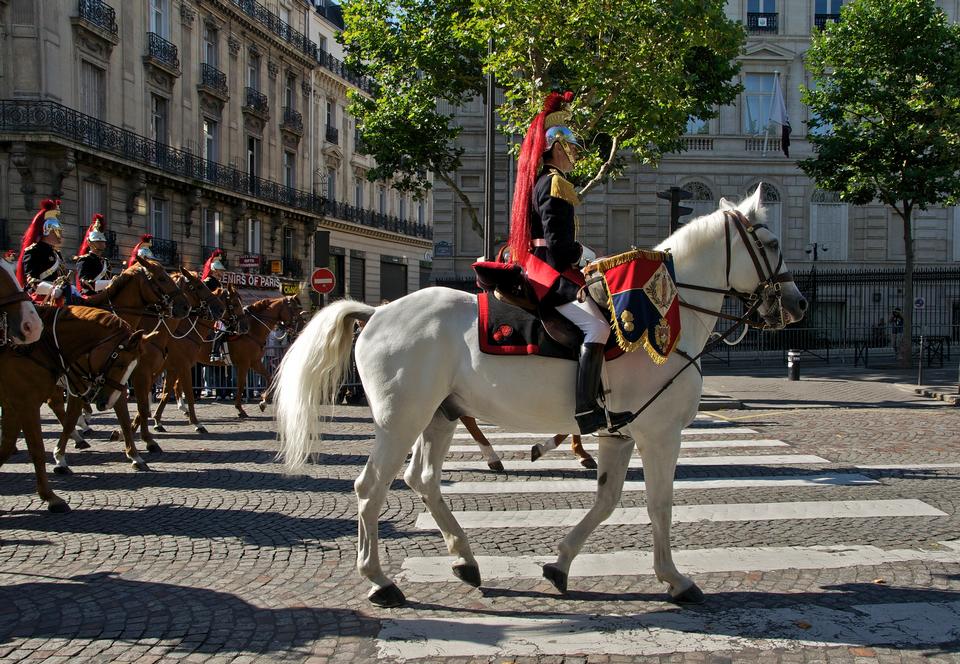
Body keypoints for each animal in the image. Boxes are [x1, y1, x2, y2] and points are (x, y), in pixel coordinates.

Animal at [151, 282, 248, 434]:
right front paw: (197, 423)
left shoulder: (173, 367)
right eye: (235, 304)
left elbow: (166, 393)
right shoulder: (182, 366)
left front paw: (157, 420)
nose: (245, 326)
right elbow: (189, 393)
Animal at [276, 185, 804, 608]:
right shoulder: (660, 435)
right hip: (400, 420)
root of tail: (378, 311)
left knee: (421, 479)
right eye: (771, 243)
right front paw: (675, 579)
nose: (798, 304)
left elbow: (608, 499)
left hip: (441, 415)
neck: (663, 312)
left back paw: (464, 559)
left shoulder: (619, 433)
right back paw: (380, 581)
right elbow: (659, 505)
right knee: (371, 488)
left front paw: (560, 565)